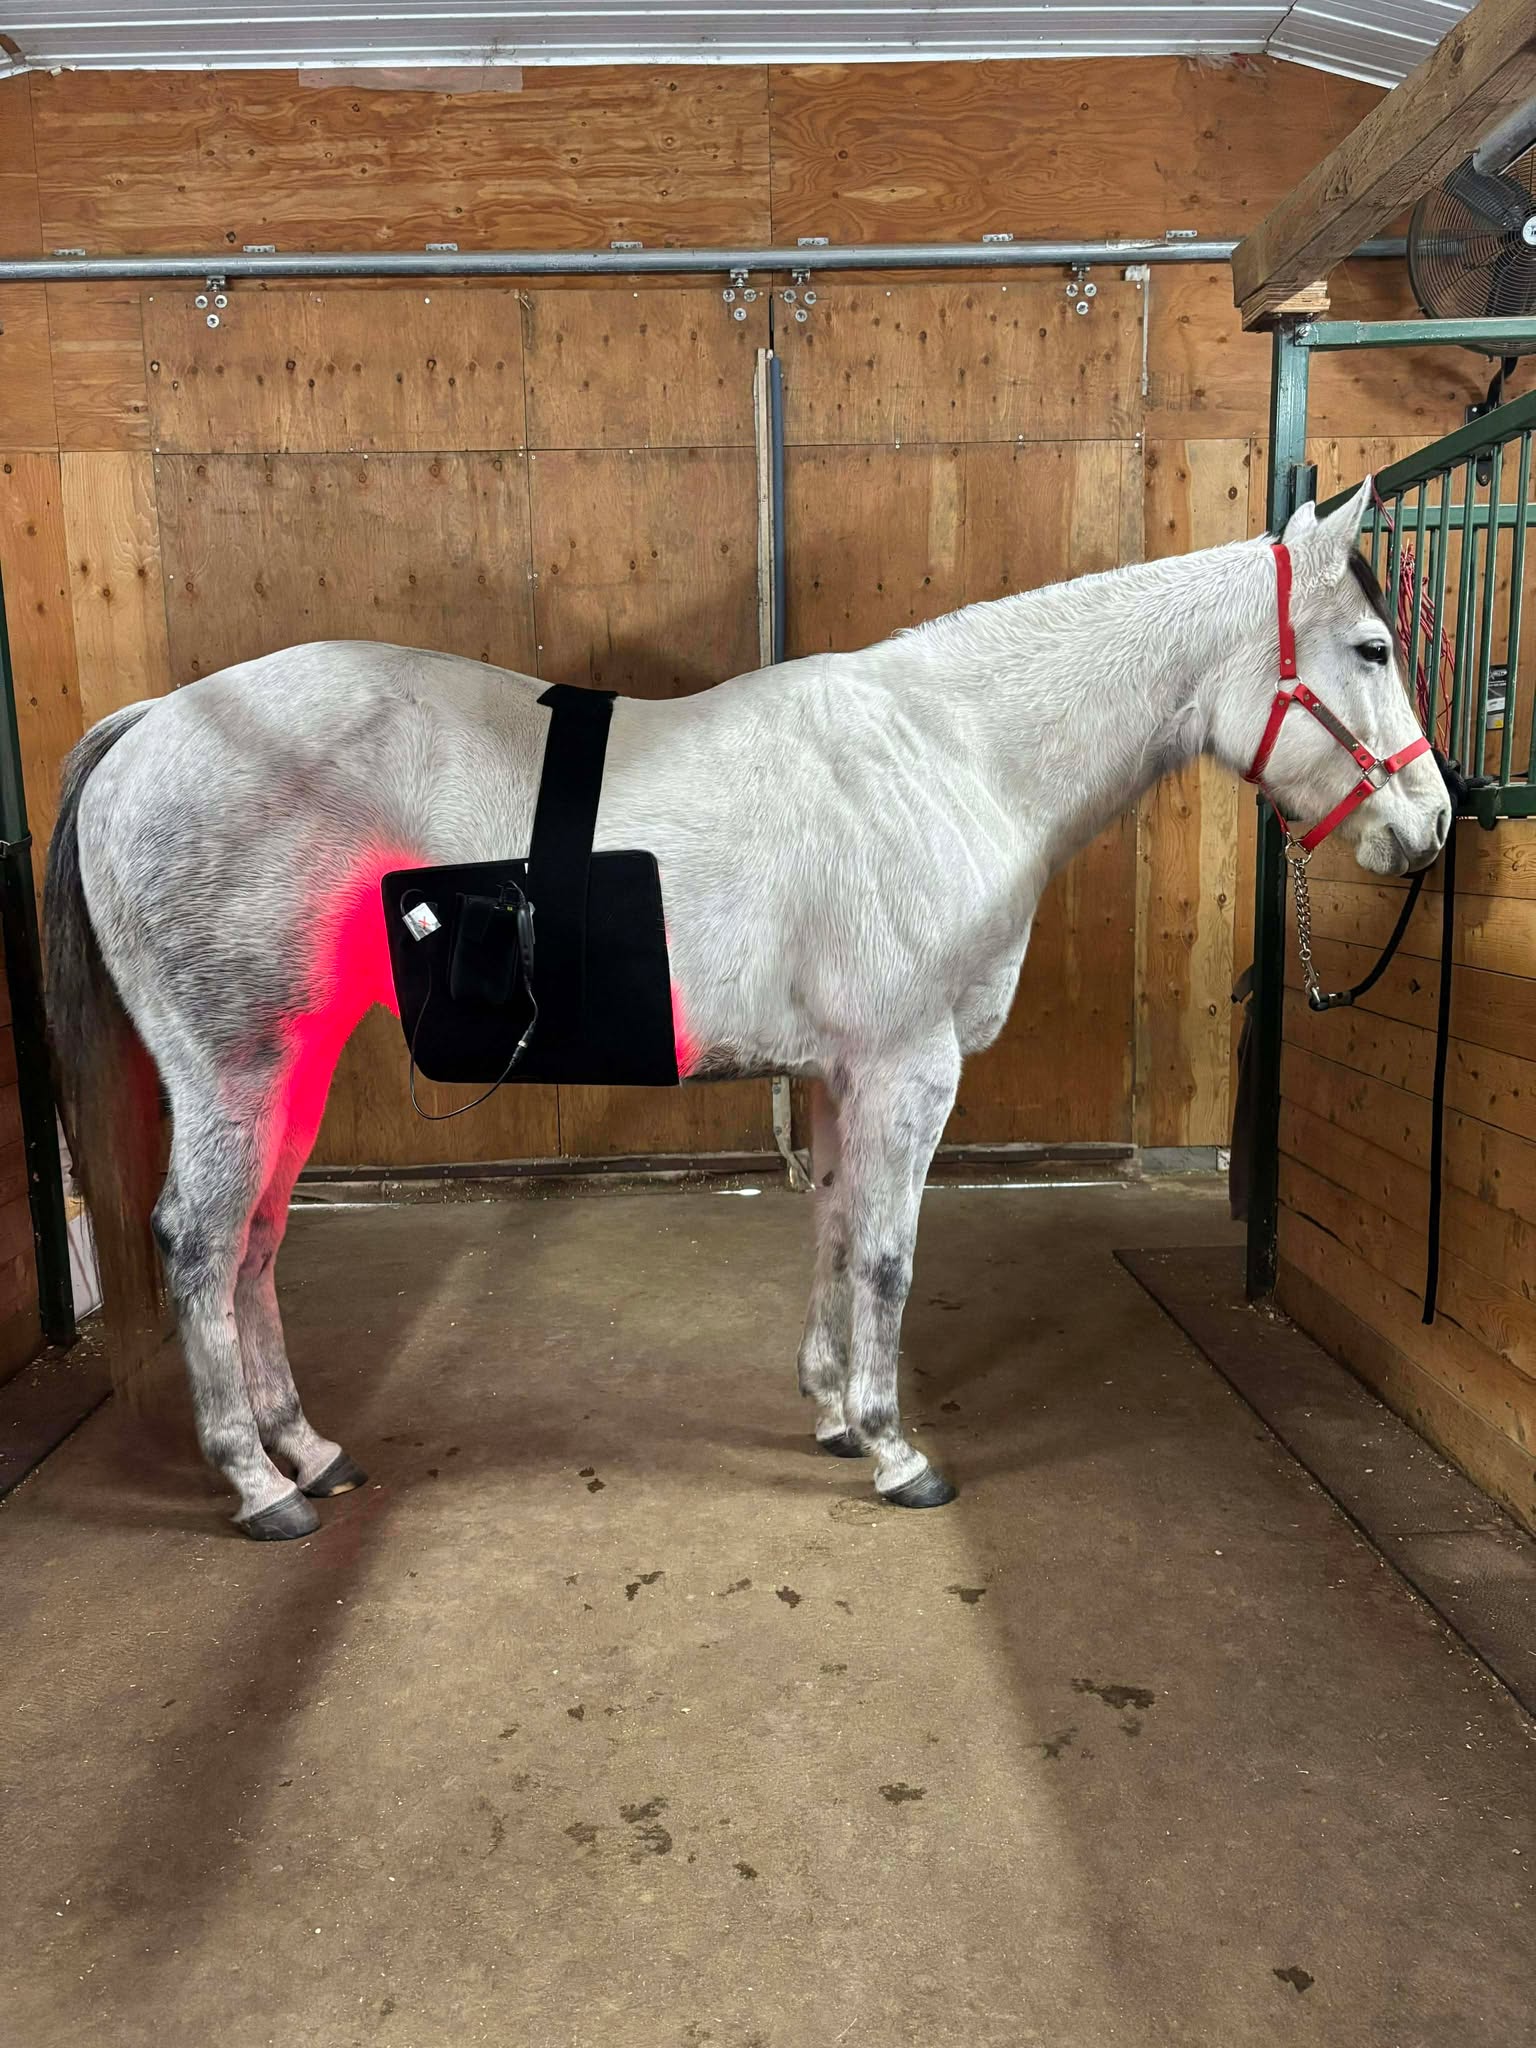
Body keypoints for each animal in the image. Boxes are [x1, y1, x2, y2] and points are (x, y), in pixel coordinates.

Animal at [44, 480, 1450, 1539]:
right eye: (1372, 649)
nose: (1430, 826)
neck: (951, 754)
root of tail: (155, 722)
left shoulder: (841, 1074)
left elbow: (832, 1234)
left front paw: (831, 1409)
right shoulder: (906, 1068)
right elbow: (885, 1253)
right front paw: (895, 1447)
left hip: (291, 1065)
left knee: (255, 1242)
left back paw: (309, 1449)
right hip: (238, 1065)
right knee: (197, 1241)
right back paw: (256, 1482)